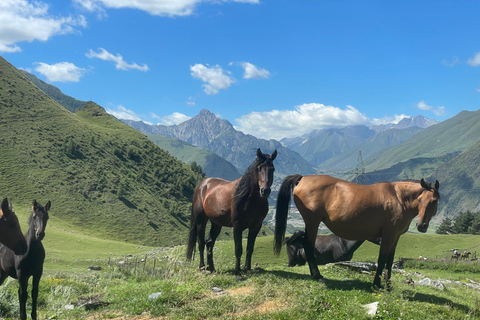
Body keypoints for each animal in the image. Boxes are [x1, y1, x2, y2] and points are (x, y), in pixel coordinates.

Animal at [188, 148, 278, 280]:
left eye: (272, 169)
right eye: (259, 168)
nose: (265, 191)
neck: (249, 199)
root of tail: (202, 185)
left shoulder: (256, 226)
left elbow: (250, 248)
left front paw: (247, 269)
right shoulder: (237, 226)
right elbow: (238, 249)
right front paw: (238, 274)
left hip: (216, 223)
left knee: (209, 242)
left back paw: (212, 268)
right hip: (201, 221)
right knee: (201, 243)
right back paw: (202, 267)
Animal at [276, 175, 440, 288]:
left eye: (434, 201)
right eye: (420, 200)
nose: (421, 226)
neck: (399, 198)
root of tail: (303, 178)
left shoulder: (395, 237)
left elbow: (390, 261)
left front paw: (388, 286)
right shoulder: (388, 236)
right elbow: (382, 260)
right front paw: (377, 284)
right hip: (312, 222)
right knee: (308, 245)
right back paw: (318, 276)